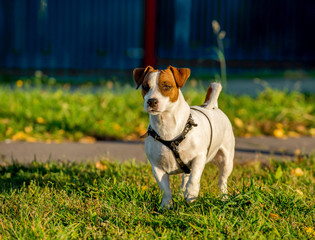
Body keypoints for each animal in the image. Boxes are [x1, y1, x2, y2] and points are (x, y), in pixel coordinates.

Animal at [133, 65, 235, 208]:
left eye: (166, 86)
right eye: (145, 87)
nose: (151, 101)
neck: (167, 128)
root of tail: (211, 106)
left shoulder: (199, 157)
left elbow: (195, 177)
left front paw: (191, 192)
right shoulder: (157, 168)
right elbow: (165, 189)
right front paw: (166, 206)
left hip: (226, 160)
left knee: (222, 180)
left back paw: (223, 197)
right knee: (185, 178)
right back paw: (181, 194)